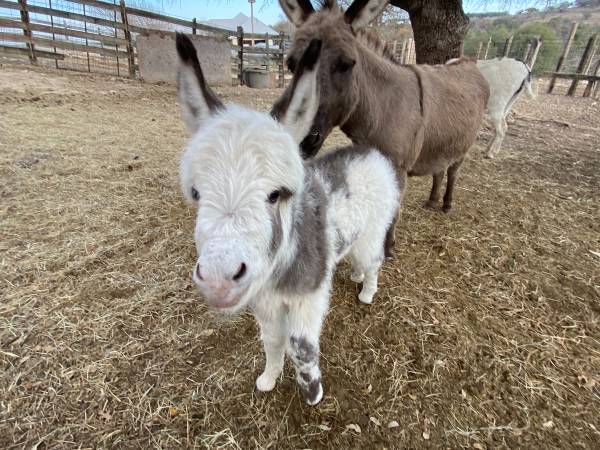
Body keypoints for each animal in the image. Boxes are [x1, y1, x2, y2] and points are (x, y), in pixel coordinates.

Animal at [175, 35, 398, 406]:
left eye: (275, 194)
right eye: (196, 193)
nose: (220, 281)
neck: (279, 270)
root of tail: (370, 152)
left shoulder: (308, 299)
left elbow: (300, 345)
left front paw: (313, 393)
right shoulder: (265, 302)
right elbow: (272, 341)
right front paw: (269, 378)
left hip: (374, 230)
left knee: (374, 259)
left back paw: (367, 291)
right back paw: (353, 274)